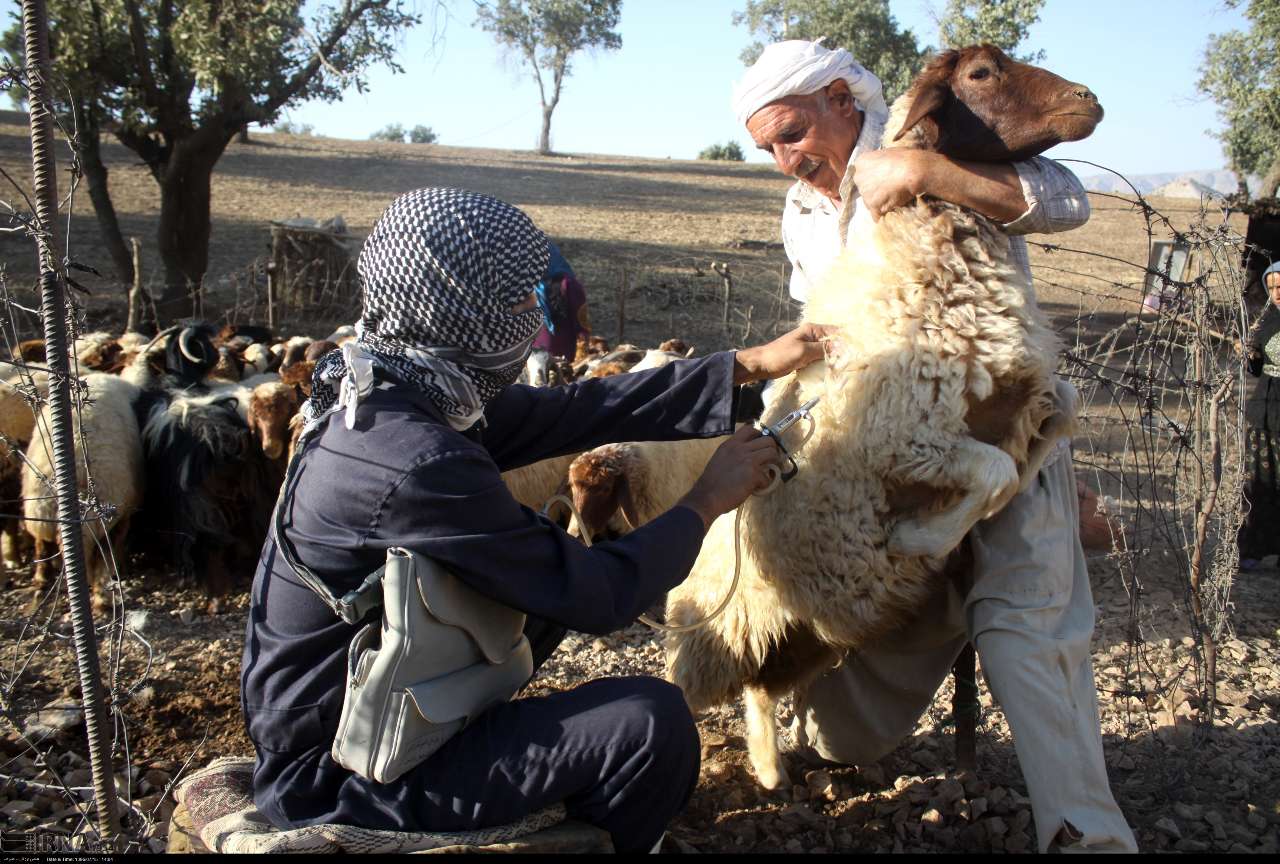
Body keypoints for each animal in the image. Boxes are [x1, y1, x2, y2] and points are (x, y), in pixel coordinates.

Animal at [20, 373, 144, 614]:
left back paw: (41, 583)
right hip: (104, 513)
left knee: (41, 547)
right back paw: (101, 598)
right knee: (102, 557)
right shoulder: (125, 513)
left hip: (40, 512)